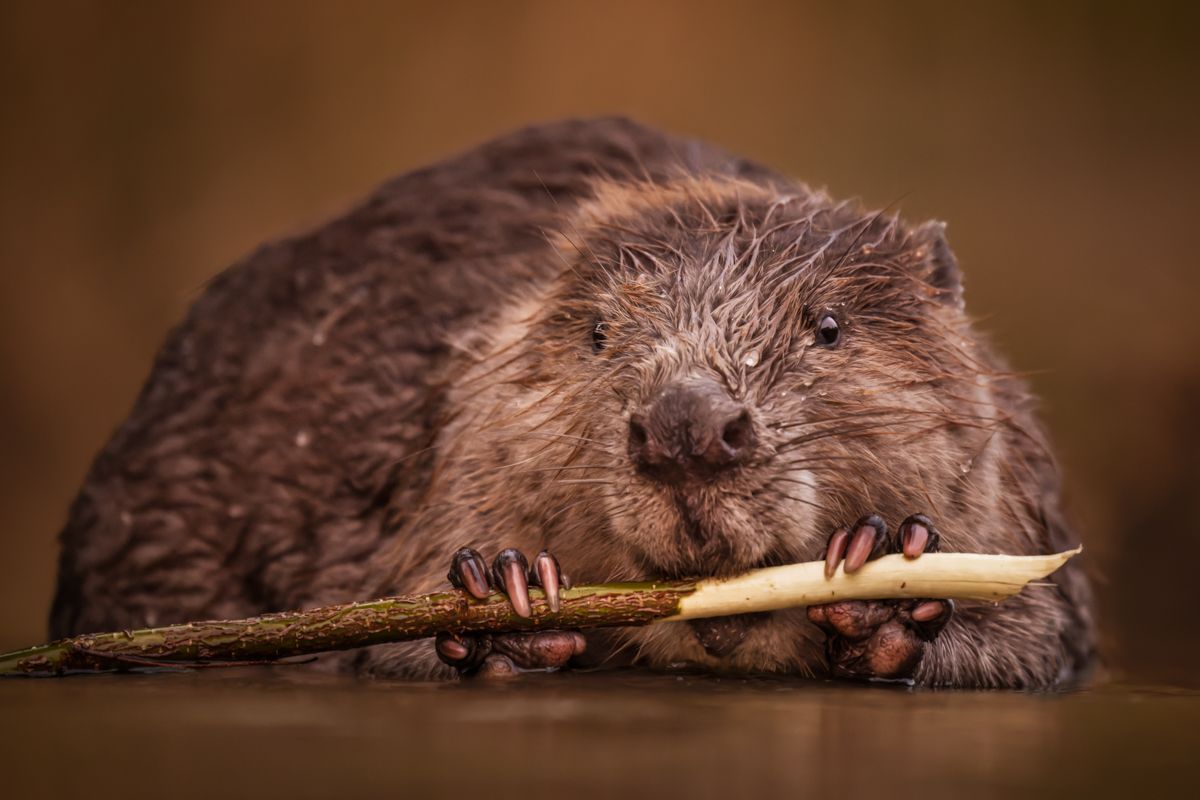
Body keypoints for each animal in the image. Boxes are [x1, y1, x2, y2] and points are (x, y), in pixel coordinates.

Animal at [49, 117, 1099, 690]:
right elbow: (383, 640)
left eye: (830, 325)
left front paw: (887, 574)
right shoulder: (444, 447)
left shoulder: (1019, 497)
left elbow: (1040, 640)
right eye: (597, 333)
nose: (686, 428)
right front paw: (501, 591)